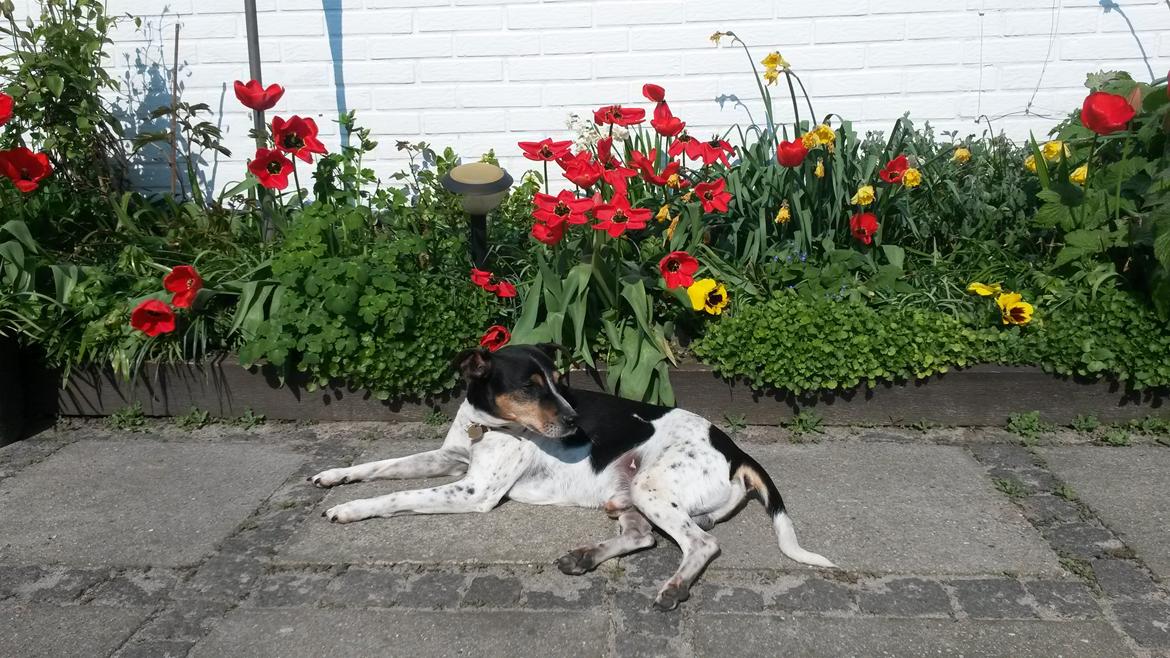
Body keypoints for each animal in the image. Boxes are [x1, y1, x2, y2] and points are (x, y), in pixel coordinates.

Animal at [313, 346, 833, 608]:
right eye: (530, 388)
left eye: (562, 383)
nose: (574, 422)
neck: (488, 425)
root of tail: (736, 450)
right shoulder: (449, 459)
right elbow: (383, 467)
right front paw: (334, 477)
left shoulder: (474, 491)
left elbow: (399, 495)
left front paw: (351, 509)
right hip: (624, 495)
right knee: (644, 537)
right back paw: (584, 558)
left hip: (649, 488)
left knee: (701, 543)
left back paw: (674, 587)